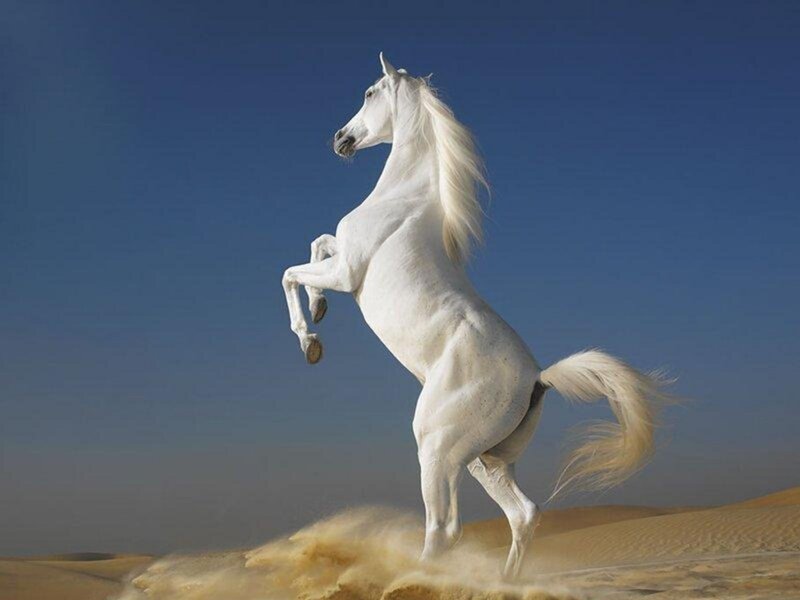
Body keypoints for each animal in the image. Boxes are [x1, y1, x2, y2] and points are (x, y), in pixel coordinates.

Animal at [281, 53, 671, 577]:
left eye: (369, 92)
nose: (341, 139)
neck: (404, 199)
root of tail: (538, 378)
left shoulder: (347, 272)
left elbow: (291, 271)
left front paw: (311, 340)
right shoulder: (340, 259)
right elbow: (318, 242)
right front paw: (320, 311)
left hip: (437, 448)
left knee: (445, 528)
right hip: (483, 459)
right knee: (523, 515)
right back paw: (503, 582)